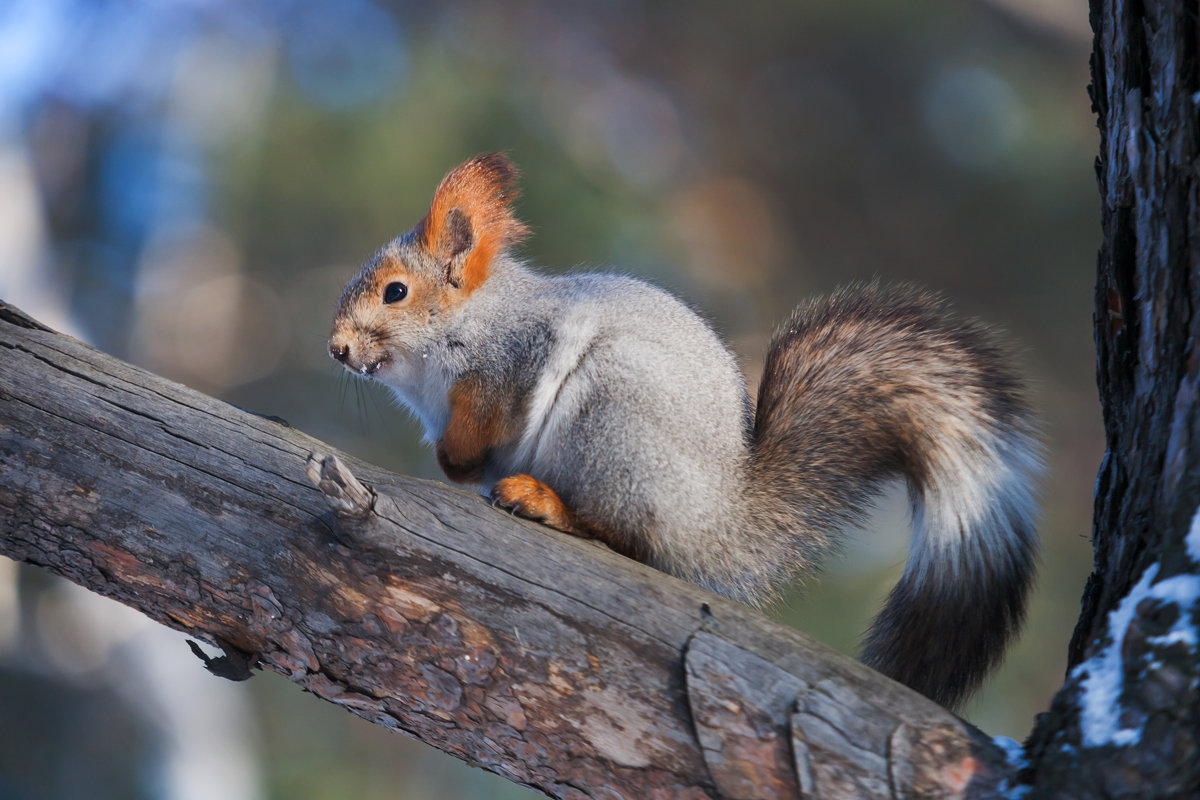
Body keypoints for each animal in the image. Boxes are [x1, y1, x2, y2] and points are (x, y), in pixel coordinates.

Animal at [326, 153, 1041, 710]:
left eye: (394, 292)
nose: (336, 349)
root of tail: (719, 518)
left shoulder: (515, 359)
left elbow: (489, 412)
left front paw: (457, 456)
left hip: (611, 420)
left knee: (626, 536)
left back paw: (543, 502)